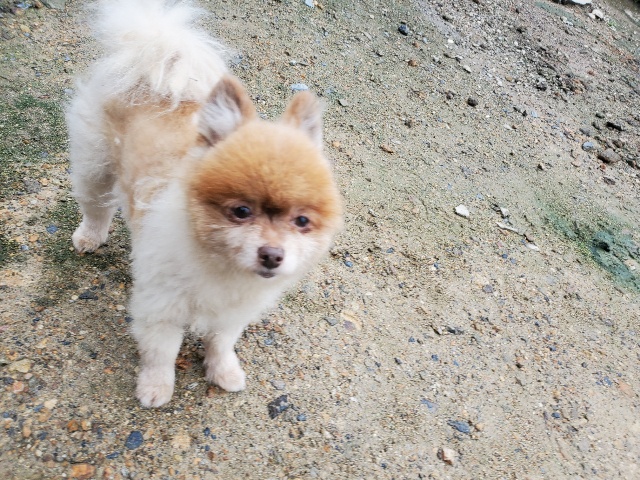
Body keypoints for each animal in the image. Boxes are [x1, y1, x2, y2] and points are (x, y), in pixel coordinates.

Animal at [66, 0, 342, 407]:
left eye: (302, 221)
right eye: (241, 211)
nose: (272, 255)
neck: (219, 265)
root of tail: (152, 61)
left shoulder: (231, 313)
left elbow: (221, 342)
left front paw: (224, 371)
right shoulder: (161, 308)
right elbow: (161, 353)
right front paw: (155, 387)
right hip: (95, 163)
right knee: (96, 204)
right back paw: (89, 236)